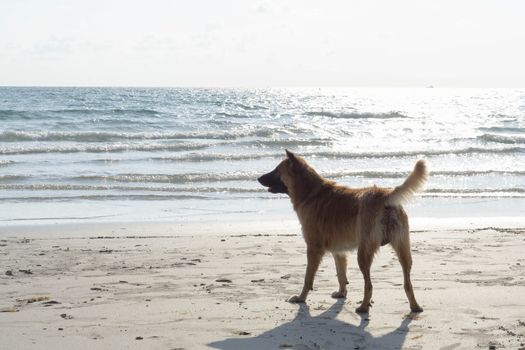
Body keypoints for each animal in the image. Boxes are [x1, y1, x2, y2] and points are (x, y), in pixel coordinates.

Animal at [258, 149, 426, 314]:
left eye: (277, 171)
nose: (258, 178)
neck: (310, 193)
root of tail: (384, 195)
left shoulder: (313, 248)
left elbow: (308, 278)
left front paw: (301, 298)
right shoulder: (338, 251)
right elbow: (341, 274)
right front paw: (341, 293)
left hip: (364, 253)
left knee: (369, 285)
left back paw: (364, 307)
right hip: (403, 250)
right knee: (407, 283)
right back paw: (415, 306)